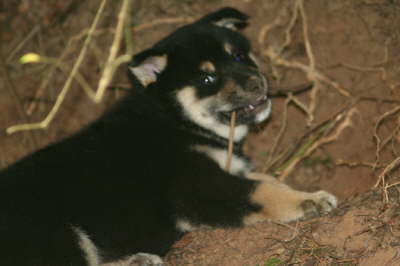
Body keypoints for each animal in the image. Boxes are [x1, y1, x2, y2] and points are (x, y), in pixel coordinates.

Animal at [0, 7, 336, 264]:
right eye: (207, 78)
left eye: (239, 56)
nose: (257, 83)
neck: (173, 120)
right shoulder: (200, 189)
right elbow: (264, 191)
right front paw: (310, 199)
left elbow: (268, 180)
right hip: (56, 231)